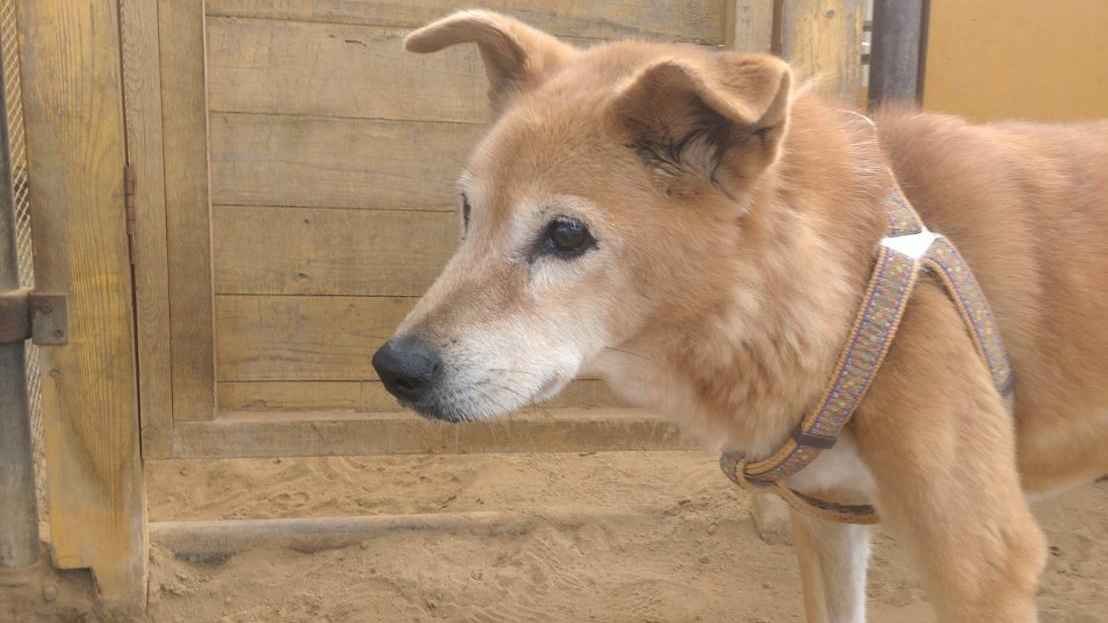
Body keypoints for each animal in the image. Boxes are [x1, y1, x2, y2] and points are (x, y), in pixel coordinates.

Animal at [371, 10, 1108, 622]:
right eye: (468, 211)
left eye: (566, 235)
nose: (393, 367)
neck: (842, 287)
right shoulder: (827, 523)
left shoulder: (982, 566)